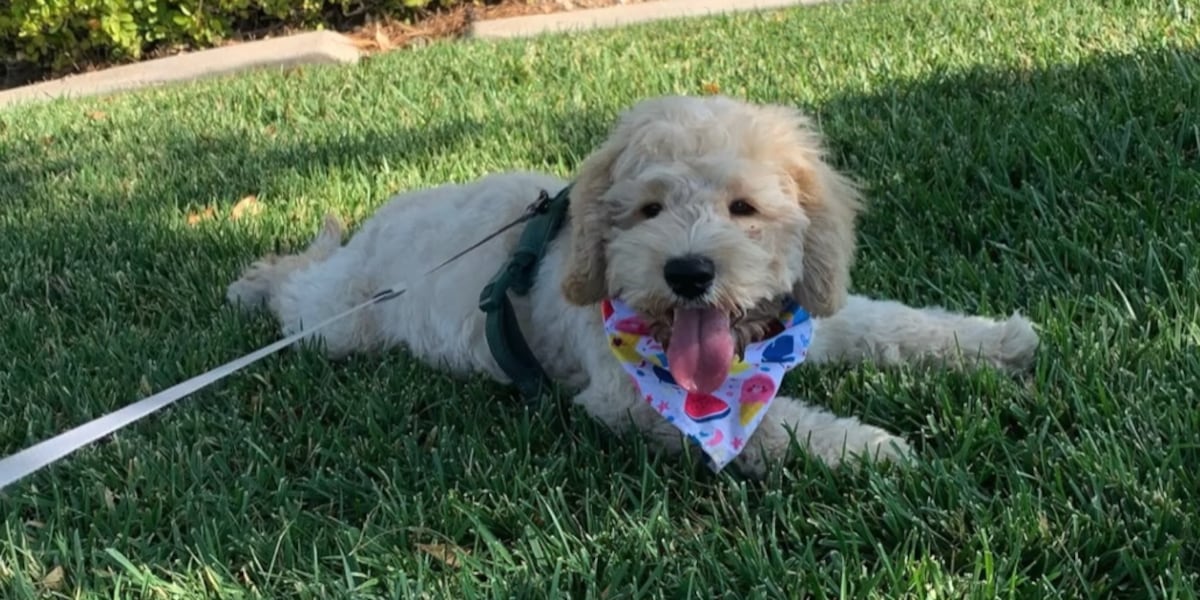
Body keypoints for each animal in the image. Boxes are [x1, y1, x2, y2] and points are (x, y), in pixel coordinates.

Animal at [226, 94, 1041, 477]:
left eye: (744, 208)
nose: (688, 271)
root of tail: (379, 224)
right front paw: (868, 447)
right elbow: (776, 427)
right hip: (342, 320)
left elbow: (893, 324)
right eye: (648, 209)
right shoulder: (628, 403)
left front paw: (998, 341)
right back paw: (256, 278)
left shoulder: (809, 314)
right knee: (297, 289)